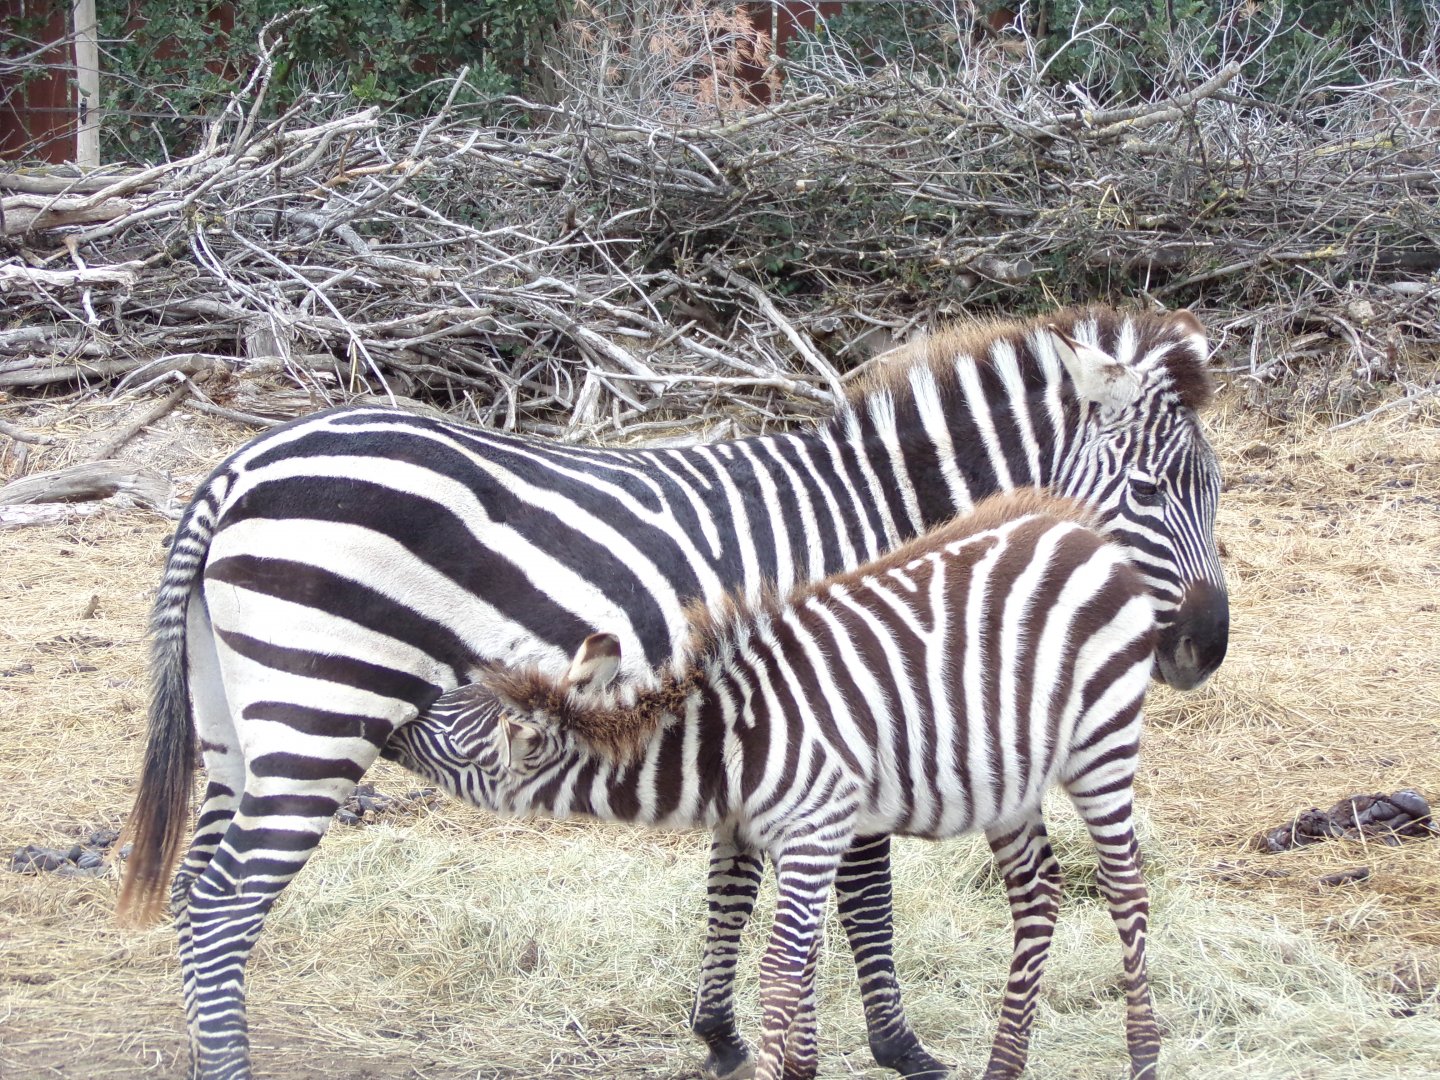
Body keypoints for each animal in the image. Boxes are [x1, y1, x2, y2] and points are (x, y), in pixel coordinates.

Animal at [458, 488, 1163, 1080]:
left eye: (452, 739)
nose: (418, 717)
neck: (731, 738)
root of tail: (1075, 527)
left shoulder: (815, 826)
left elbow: (783, 965)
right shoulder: (766, 832)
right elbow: (775, 938)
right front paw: (785, 1058)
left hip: (1101, 744)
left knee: (1125, 888)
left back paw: (1143, 1058)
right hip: (1009, 776)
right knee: (1038, 890)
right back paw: (1004, 1066)